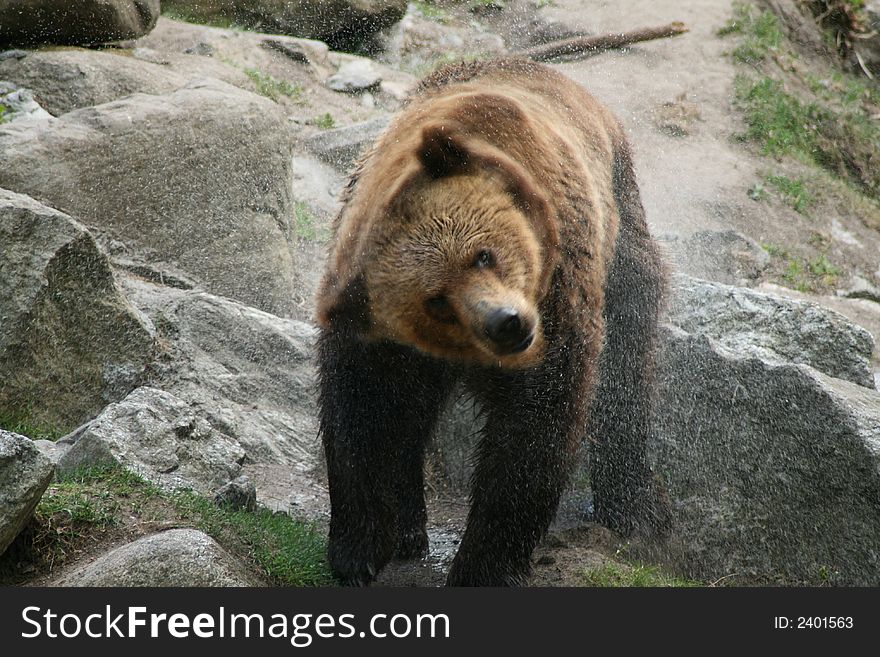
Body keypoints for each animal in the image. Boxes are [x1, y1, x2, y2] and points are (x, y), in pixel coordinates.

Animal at [314, 60, 668, 584]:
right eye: (437, 301)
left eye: (484, 255)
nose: (508, 324)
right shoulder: (369, 320)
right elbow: (365, 408)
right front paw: (358, 547)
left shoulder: (558, 297)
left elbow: (535, 423)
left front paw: (483, 566)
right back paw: (409, 528)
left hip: (622, 237)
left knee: (627, 368)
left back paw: (629, 506)